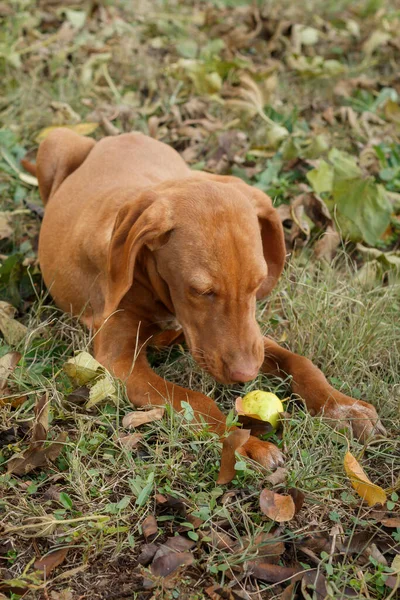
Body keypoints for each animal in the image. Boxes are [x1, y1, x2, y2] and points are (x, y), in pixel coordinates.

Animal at [26, 130, 382, 468]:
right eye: (200, 291)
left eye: (257, 284)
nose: (246, 375)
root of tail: (120, 137)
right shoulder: (119, 361)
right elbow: (197, 402)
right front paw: (243, 444)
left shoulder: (250, 337)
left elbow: (301, 362)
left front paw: (343, 407)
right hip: (55, 143)